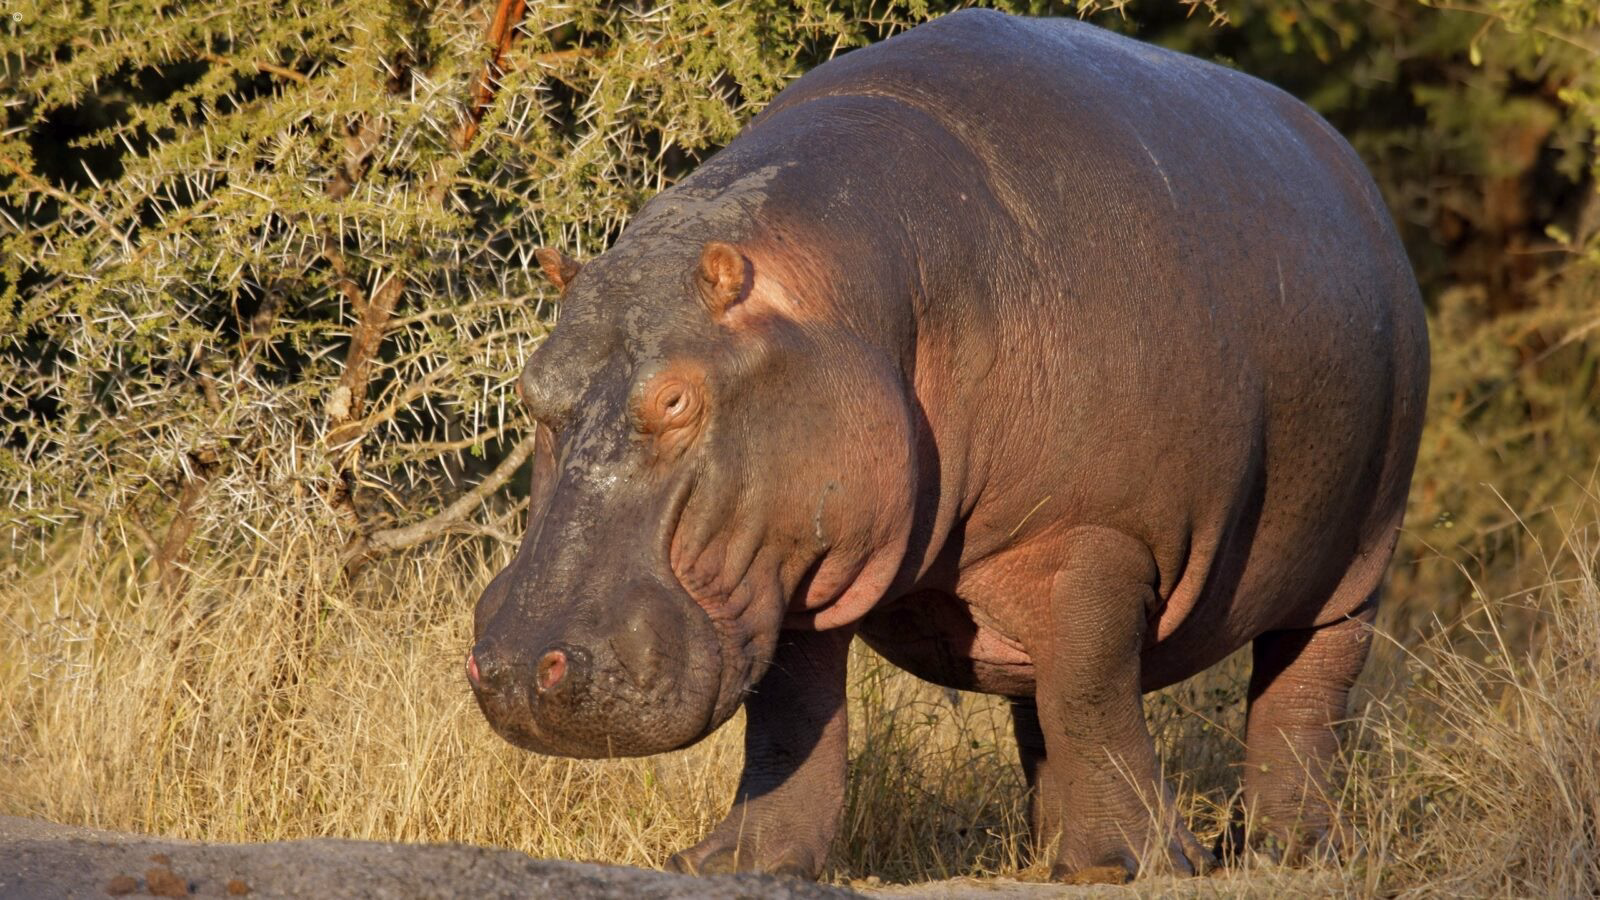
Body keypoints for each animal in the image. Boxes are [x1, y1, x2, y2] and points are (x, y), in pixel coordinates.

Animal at [467, 8, 1428, 883]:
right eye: (530, 384)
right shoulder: (791, 555)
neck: (856, 294)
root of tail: (1349, 163)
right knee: (1043, 705)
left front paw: (1146, 865)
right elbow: (790, 719)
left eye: (675, 397)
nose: (512, 666)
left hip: (1354, 567)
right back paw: (1060, 859)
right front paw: (733, 864)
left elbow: (1093, 694)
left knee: (1297, 696)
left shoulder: (1097, 538)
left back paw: (1286, 851)